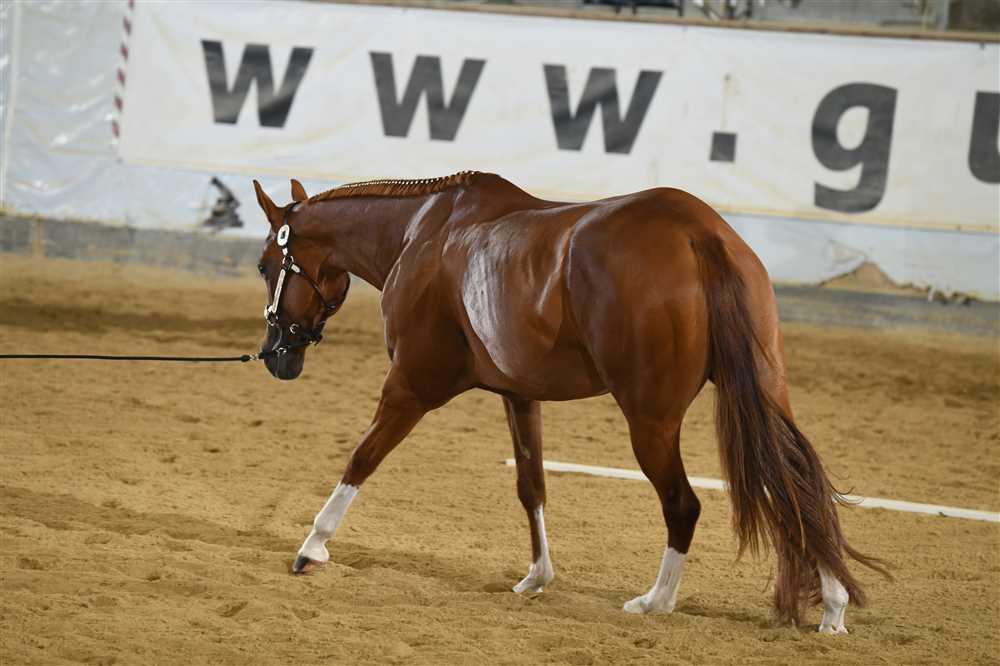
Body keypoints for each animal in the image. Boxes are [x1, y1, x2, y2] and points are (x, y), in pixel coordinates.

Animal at [251, 171, 885, 632]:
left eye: (264, 265)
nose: (275, 355)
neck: (420, 234)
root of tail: (699, 234)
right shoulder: (519, 396)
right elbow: (531, 484)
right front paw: (537, 576)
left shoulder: (410, 386)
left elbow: (361, 459)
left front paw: (312, 547)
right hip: (763, 394)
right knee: (799, 485)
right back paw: (832, 604)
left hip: (651, 422)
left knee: (684, 505)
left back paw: (655, 602)